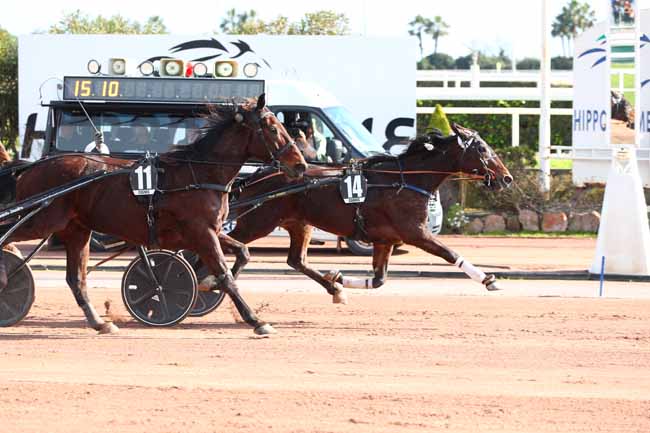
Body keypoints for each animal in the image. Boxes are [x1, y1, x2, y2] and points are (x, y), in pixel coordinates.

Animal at [0, 97, 306, 334]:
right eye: (272, 128)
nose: (301, 165)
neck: (198, 174)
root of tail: (32, 166)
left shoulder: (209, 230)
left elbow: (242, 252)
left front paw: (206, 283)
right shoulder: (201, 232)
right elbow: (225, 272)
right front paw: (256, 321)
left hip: (77, 229)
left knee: (77, 279)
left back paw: (101, 323)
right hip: (41, 220)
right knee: (8, 236)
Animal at [216, 123, 512, 302]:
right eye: (482, 148)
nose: (506, 178)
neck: (405, 179)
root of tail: (258, 175)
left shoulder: (386, 240)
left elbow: (379, 280)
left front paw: (339, 278)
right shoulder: (416, 232)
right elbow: (450, 254)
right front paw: (489, 279)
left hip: (299, 223)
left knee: (296, 260)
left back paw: (333, 288)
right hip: (258, 221)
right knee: (228, 242)